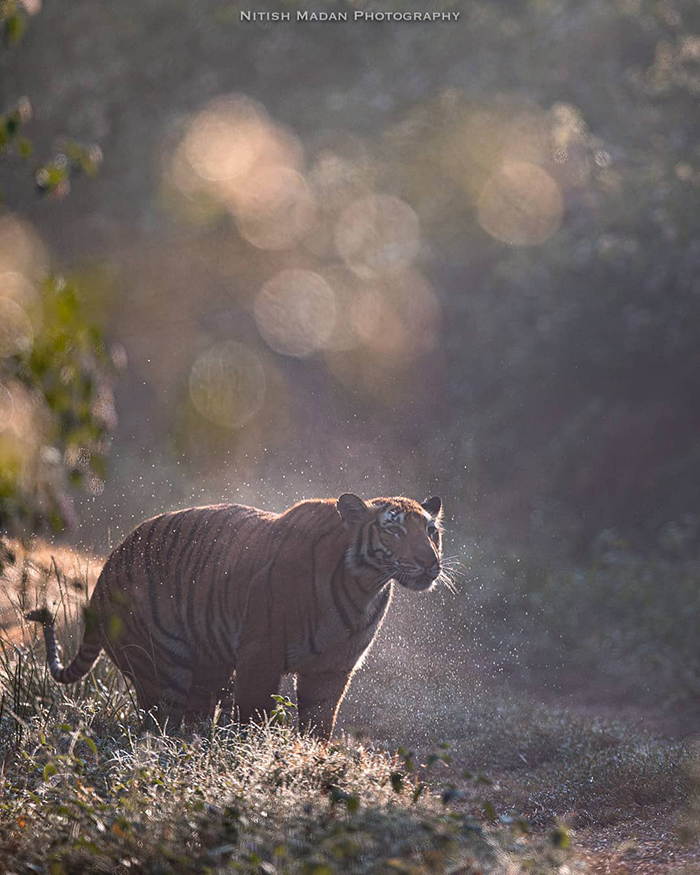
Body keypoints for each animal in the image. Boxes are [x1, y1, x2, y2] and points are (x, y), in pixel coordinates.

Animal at [26, 493, 444, 738]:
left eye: (430, 530)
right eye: (394, 531)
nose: (430, 562)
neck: (364, 587)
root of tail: (100, 582)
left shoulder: (332, 669)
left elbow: (318, 727)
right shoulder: (260, 655)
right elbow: (253, 716)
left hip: (209, 666)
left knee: (193, 717)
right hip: (162, 667)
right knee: (159, 726)